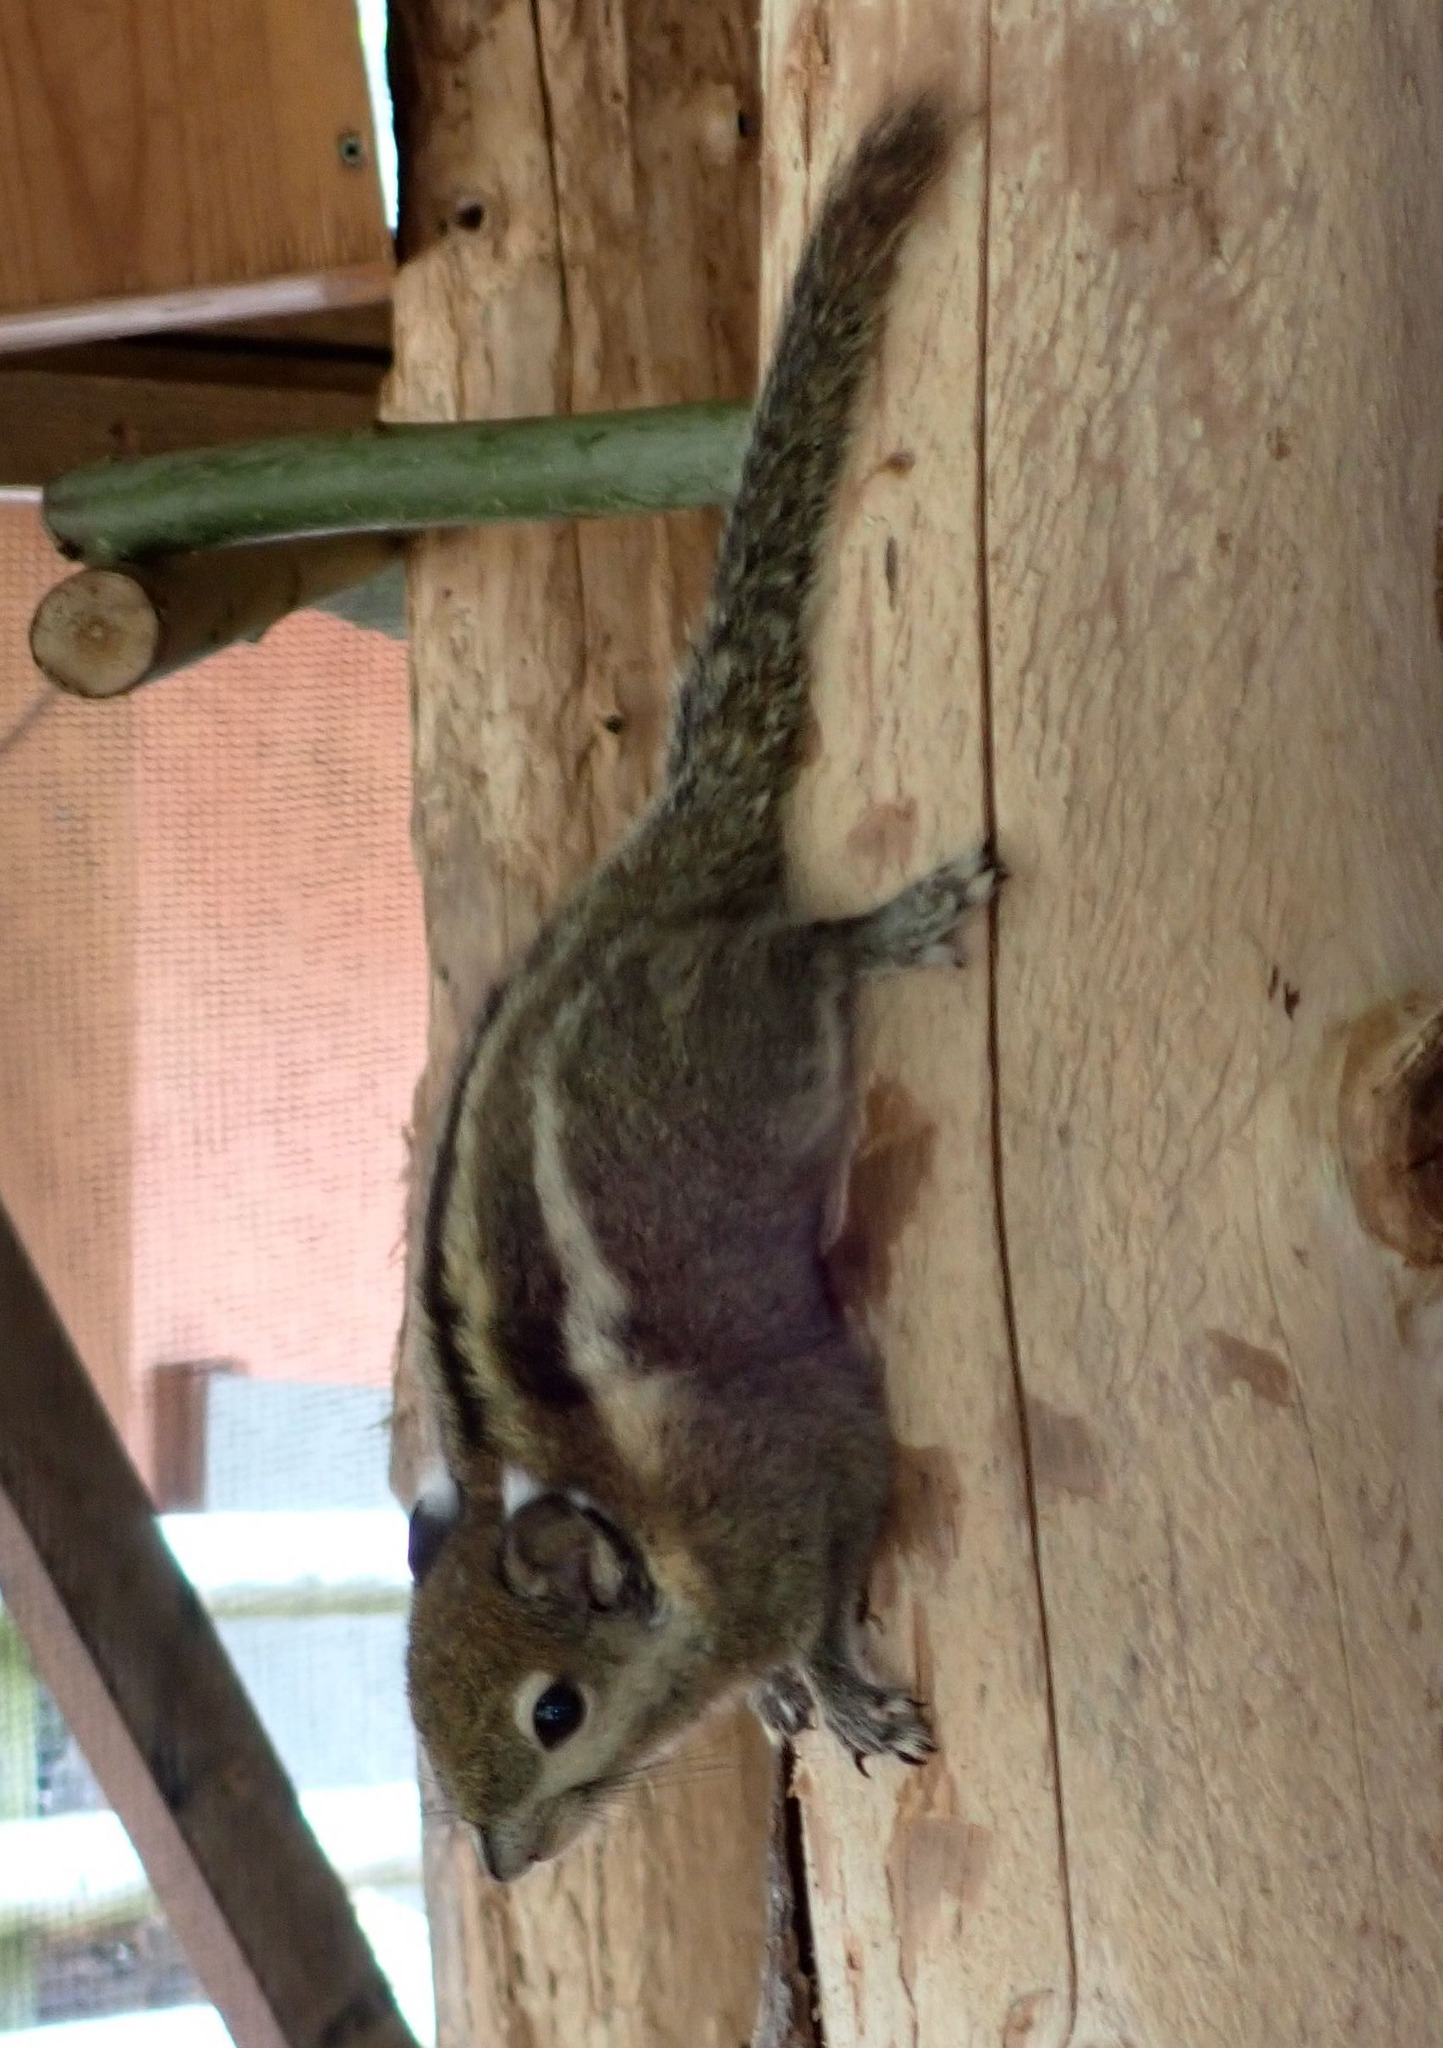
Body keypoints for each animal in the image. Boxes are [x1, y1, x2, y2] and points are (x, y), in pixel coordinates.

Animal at [405, 91, 999, 1885]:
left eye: (552, 1711)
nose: (505, 1859)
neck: (650, 1538)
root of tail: (649, 881)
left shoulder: (815, 1457)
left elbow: (832, 1568)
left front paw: (839, 1683)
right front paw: (796, 1697)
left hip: (747, 1025)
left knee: (801, 951)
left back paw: (891, 925)